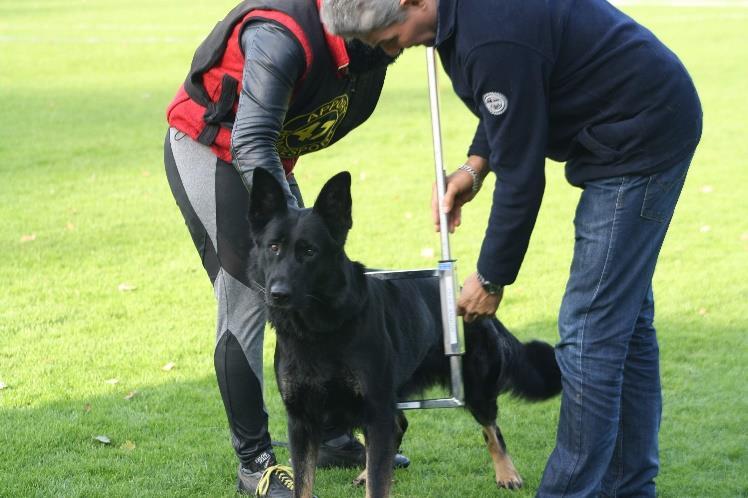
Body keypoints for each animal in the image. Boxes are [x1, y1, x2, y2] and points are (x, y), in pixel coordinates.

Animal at [247, 169, 560, 496]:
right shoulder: (302, 422)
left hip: (475, 388)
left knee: (491, 429)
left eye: (309, 251)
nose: (277, 294)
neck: (319, 330)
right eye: (273, 247)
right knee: (399, 429)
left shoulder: (375, 411)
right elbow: (304, 484)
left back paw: (507, 473)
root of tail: (461, 292)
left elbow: (378, 482)